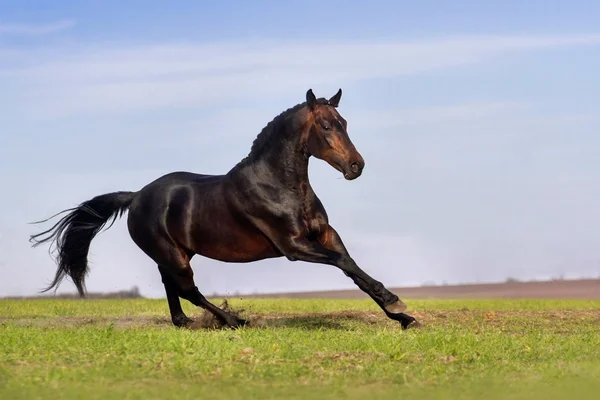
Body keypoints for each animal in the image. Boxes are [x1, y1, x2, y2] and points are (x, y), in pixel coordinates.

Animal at [29, 89, 422, 330]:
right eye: (326, 125)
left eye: (345, 123)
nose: (356, 166)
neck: (278, 184)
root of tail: (137, 195)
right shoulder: (294, 246)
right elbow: (343, 263)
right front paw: (398, 305)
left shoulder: (325, 234)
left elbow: (351, 267)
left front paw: (402, 316)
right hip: (173, 254)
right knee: (187, 288)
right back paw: (234, 321)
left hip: (177, 253)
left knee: (172, 286)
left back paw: (185, 323)